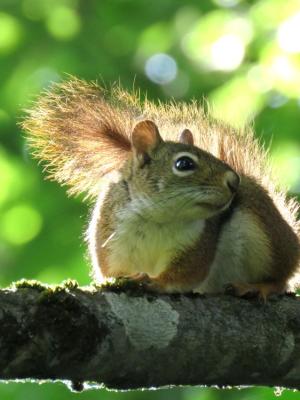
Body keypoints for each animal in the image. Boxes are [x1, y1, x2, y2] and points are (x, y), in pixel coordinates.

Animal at [22, 77, 300, 300]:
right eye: (184, 163)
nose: (234, 181)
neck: (157, 218)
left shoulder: (198, 243)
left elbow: (184, 274)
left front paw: (155, 282)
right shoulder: (110, 242)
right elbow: (111, 272)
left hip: (265, 234)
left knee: (282, 278)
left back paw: (259, 287)